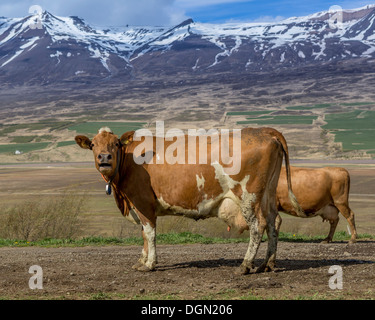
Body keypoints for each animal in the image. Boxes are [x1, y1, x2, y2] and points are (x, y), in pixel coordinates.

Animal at [75, 126, 304, 274]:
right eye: (93, 145)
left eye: (115, 144)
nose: (104, 158)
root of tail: (264, 131)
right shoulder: (138, 205)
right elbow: (143, 234)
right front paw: (141, 260)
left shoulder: (142, 202)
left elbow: (149, 233)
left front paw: (149, 264)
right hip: (268, 194)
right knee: (274, 222)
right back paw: (268, 263)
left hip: (248, 196)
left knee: (258, 226)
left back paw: (246, 265)